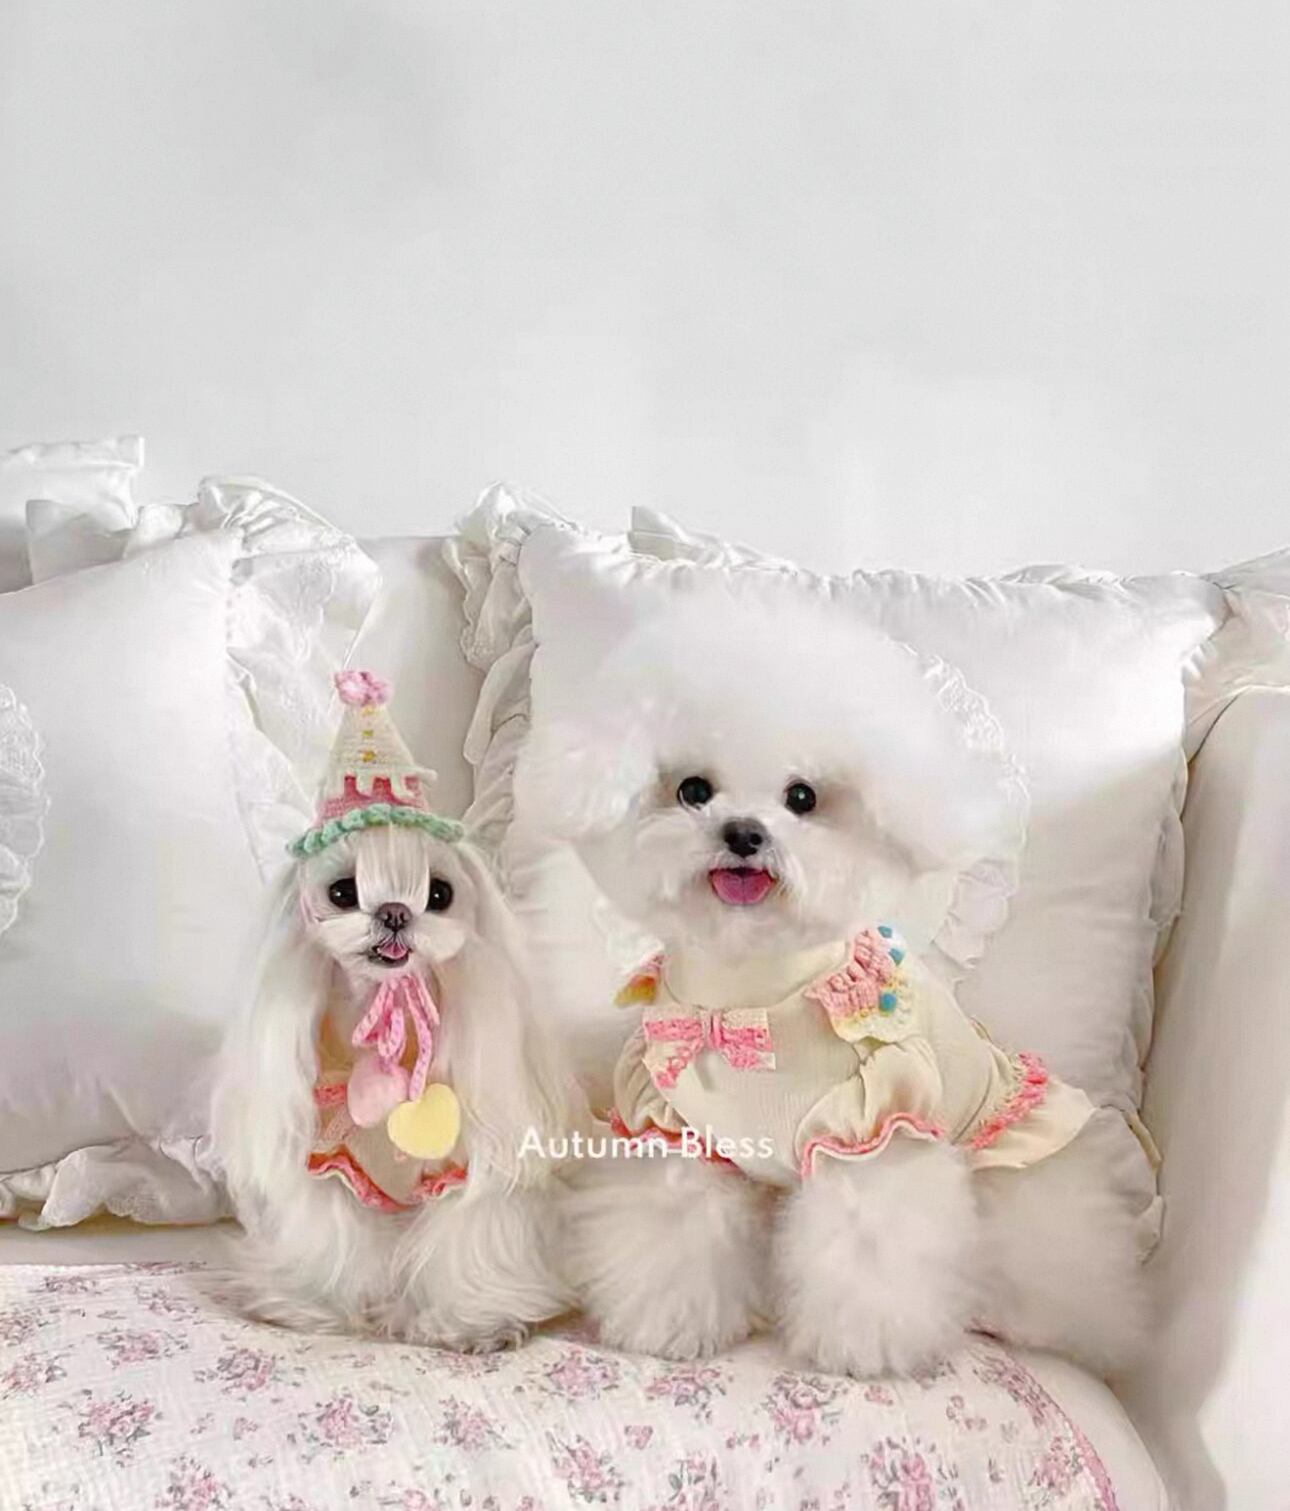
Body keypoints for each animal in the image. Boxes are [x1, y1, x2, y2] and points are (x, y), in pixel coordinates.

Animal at [519, 596, 1148, 1377]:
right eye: (693, 790)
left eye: (802, 797)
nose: (744, 832)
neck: (751, 999)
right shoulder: (679, 1130)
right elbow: (675, 1228)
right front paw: (670, 1325)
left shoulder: (875, 1128)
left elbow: (868, 1247)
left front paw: (865, 1350)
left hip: (1018, 1176)